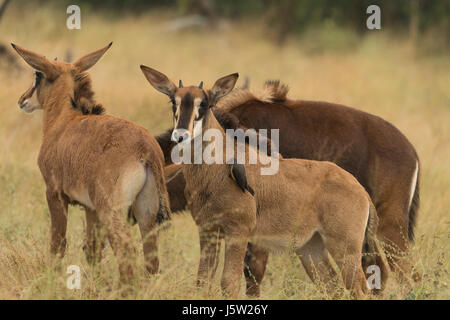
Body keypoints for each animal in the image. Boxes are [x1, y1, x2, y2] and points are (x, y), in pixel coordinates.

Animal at [12, 43, 171, 284]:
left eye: (37, 75)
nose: (23, 100)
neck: (65, 120)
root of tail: (146, 149)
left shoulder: (54, 193)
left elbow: (58, 244)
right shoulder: (90, 207)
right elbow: (92, 250)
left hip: (113, 212)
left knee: (126, 249)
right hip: (146, 213)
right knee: (150, 257)